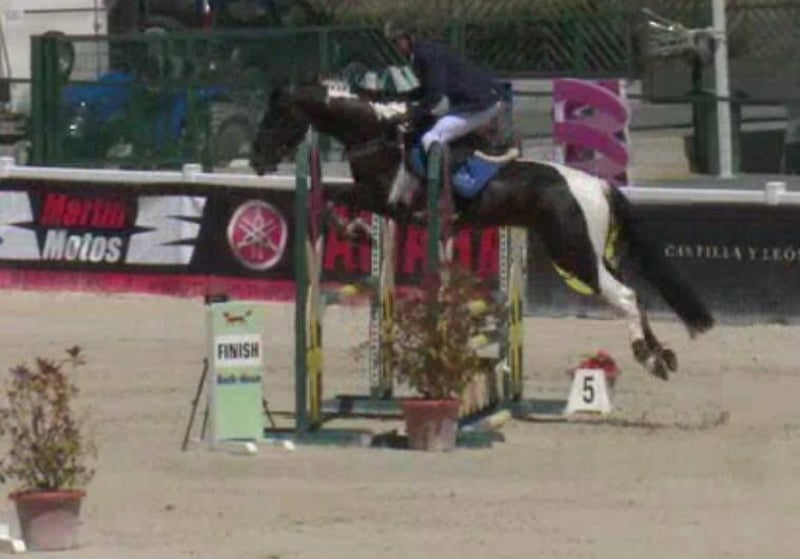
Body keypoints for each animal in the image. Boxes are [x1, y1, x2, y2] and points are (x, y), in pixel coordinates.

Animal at [249, 79, 714, 380]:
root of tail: (598, 185)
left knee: (625, 295)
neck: (376, 132)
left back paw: (646, 356)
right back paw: (661, 356)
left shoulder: (384, 198)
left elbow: (335, 202)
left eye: (274, 118)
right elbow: (336, 202)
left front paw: (355, 229)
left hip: (573, 253)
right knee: (633, 293)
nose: (256, 161)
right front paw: (358, 230)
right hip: (588, 252)